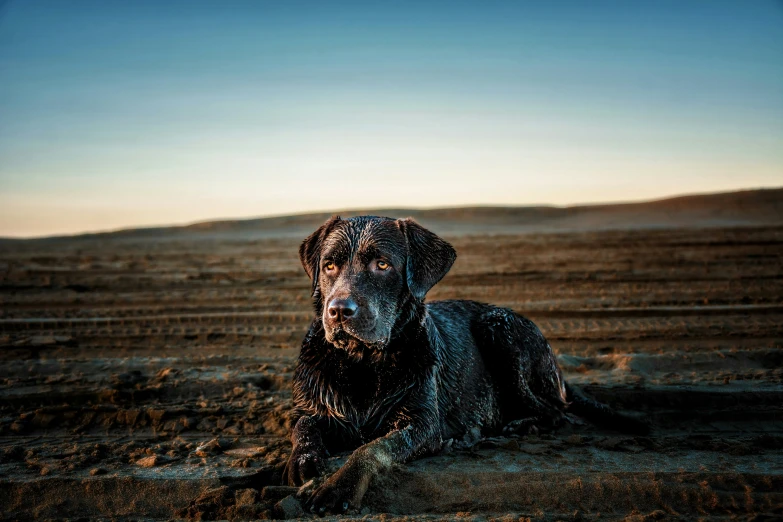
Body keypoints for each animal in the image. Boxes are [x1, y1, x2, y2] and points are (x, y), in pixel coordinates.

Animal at [284, 214, 648, 512]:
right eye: (329, 266)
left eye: (382, 265)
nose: (339, 311)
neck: (362, 364)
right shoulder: (315, 407)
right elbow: (303, 425)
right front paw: (304, 460)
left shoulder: (422, 423)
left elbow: (372, 449)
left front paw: (338, 487)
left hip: (499, 327)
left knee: (556, 411)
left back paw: (510, 427)